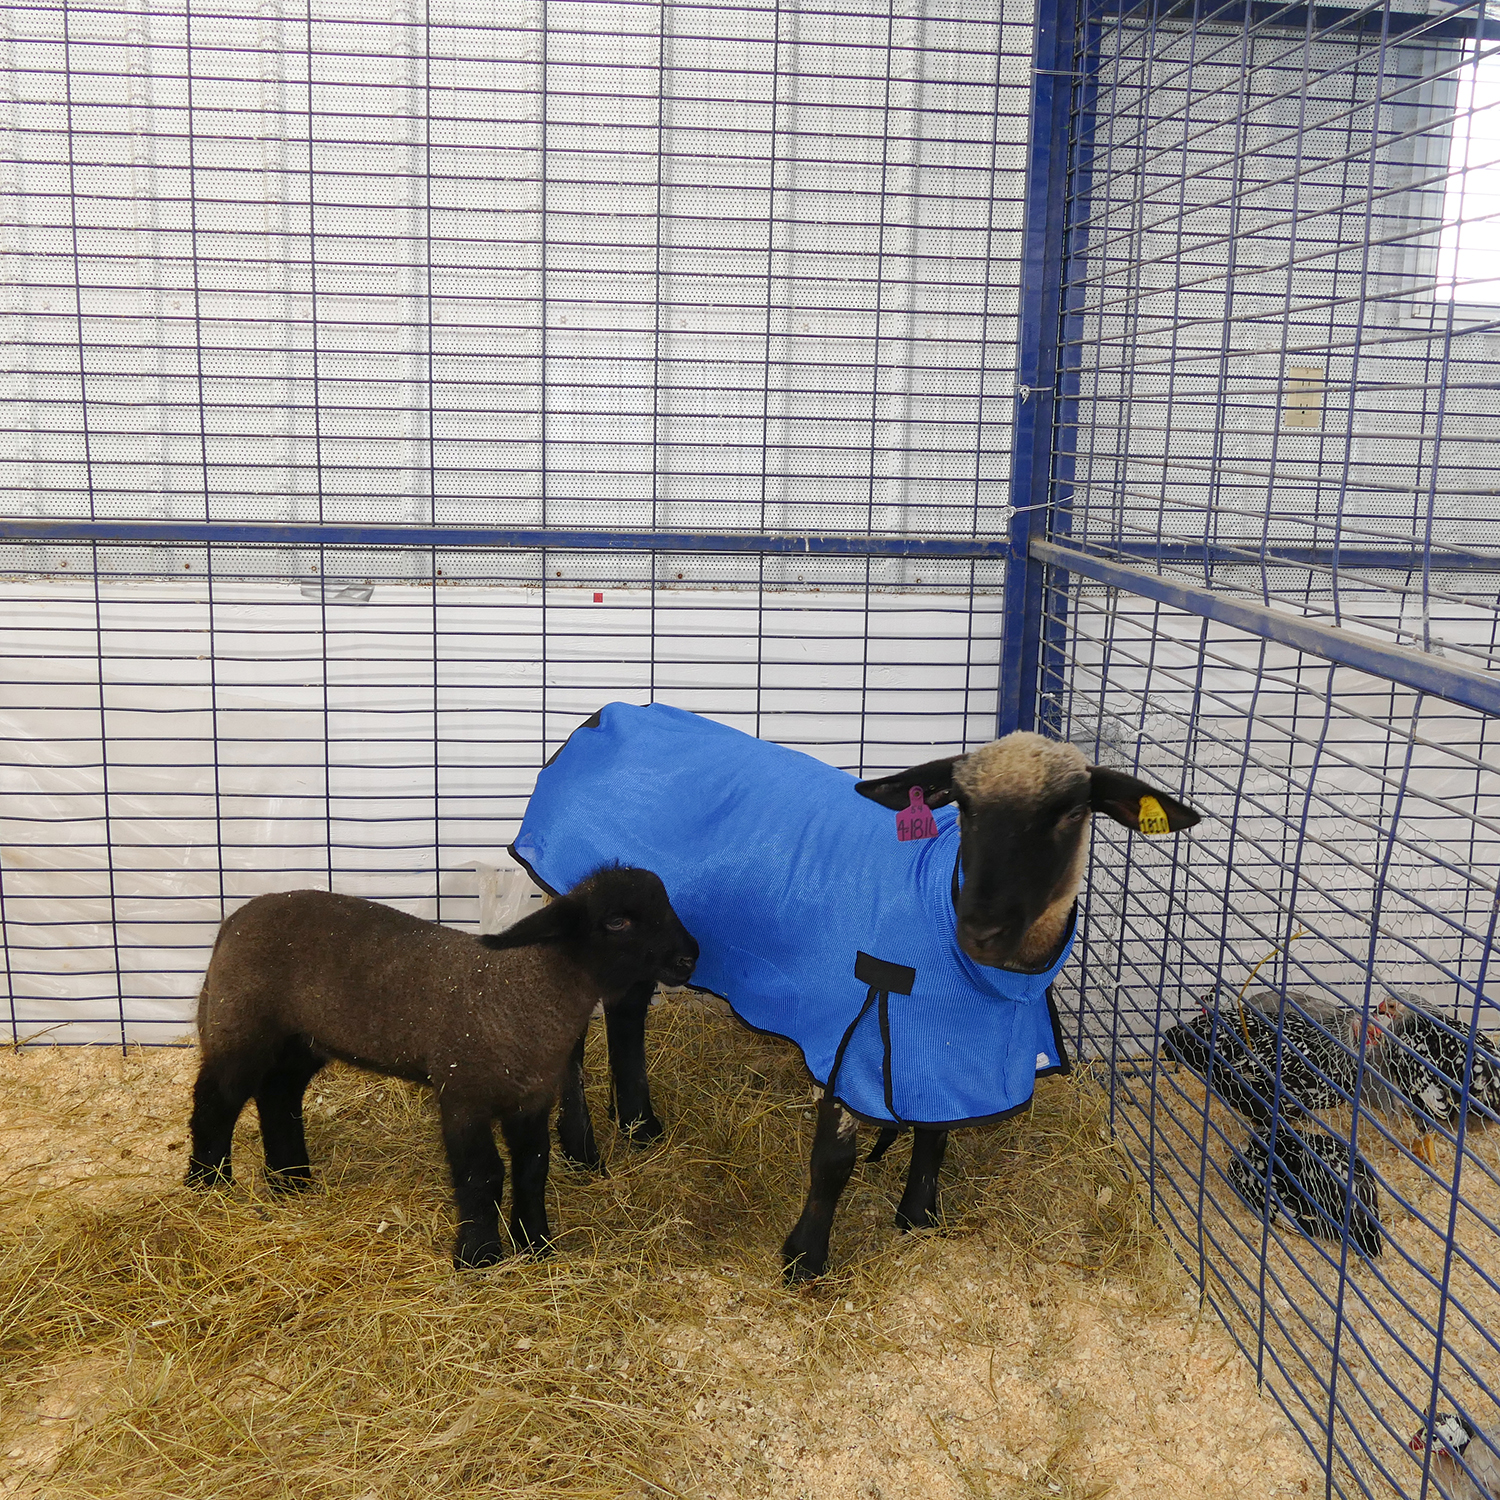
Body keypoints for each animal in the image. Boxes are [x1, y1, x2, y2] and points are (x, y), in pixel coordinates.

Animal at [185, 867, 698, 1267]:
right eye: (617, 921)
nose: (690, 956)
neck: (524, 991)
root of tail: (233, 920)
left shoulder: (531, 1098)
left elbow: (533, 1168)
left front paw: (536, 1247)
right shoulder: (462, 1095)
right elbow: (482, 1173)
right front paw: (478, 1256)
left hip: (301, 1038)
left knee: (278, 1094)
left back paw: (290, 1181)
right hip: (241, 1026)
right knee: (216, 1101)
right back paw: (208, 1185)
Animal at [508, 702, 1200, 1280]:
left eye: (1071, 811)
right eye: (964, 807)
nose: (981, 928)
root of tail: (602, 717)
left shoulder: (936, 1049)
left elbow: (935, 1131)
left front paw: (919, 1218)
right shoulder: (858, 1027)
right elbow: (833, 1159)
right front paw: (804, 1260)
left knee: (627, 1010)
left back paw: (641, 1125)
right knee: (569, 1038)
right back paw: (583, 1150)